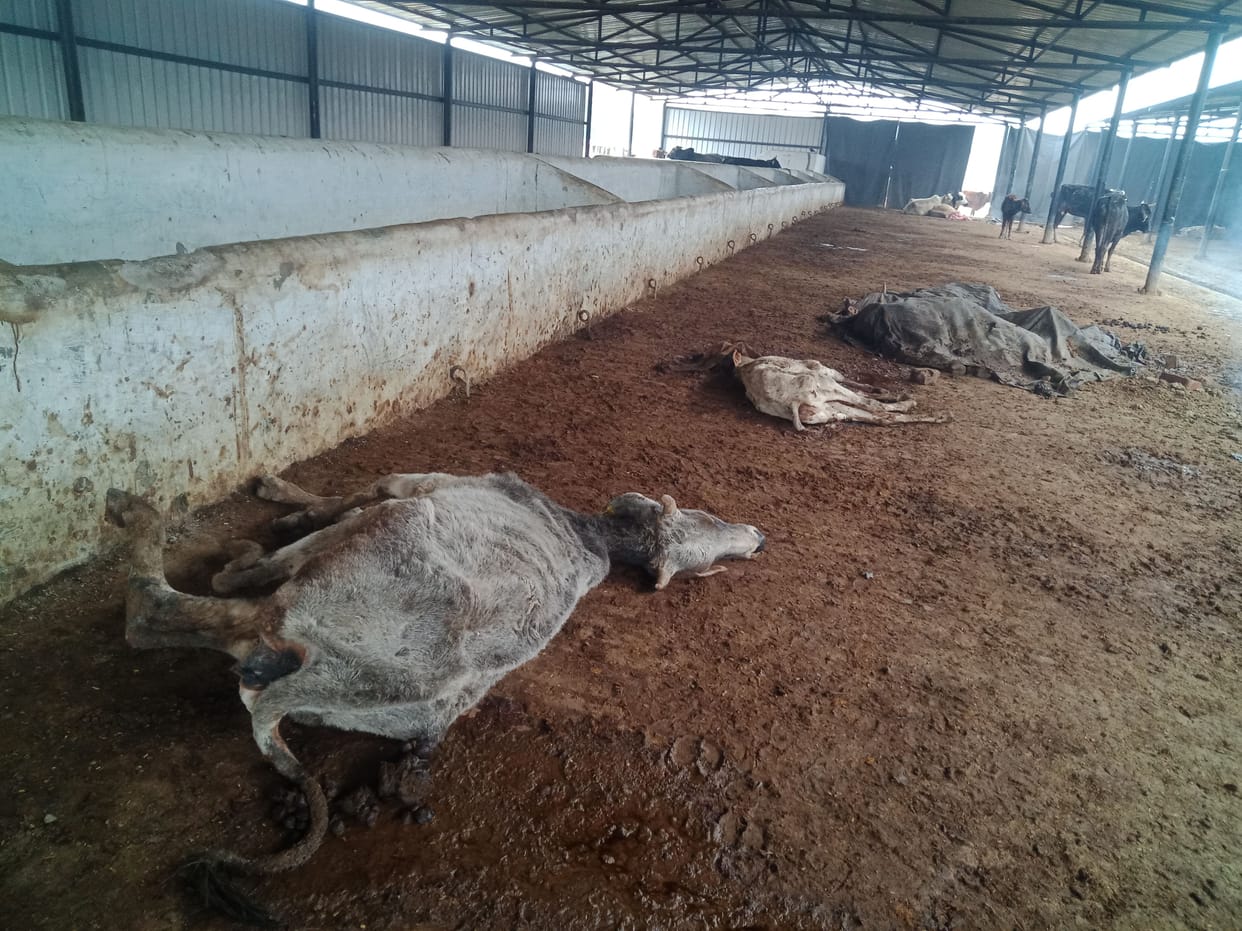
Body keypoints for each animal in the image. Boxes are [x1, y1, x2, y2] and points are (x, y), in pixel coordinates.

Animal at [104, 472, 765, 918]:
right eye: (708, 521)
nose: (758, 537)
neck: (583, 530)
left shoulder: (420, 482)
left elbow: (353, 494)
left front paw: (278, 502)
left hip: (342, 563)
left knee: (174, 608)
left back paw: (147, 518)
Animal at [729, 350, 948, 430]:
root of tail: (792, 403)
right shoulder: (821, 369)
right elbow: (855, 385)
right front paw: (884, 392)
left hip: (827, 411)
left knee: (880, 417)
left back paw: (940, 416)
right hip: (826, 389)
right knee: (875, 408)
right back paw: (910, 401)